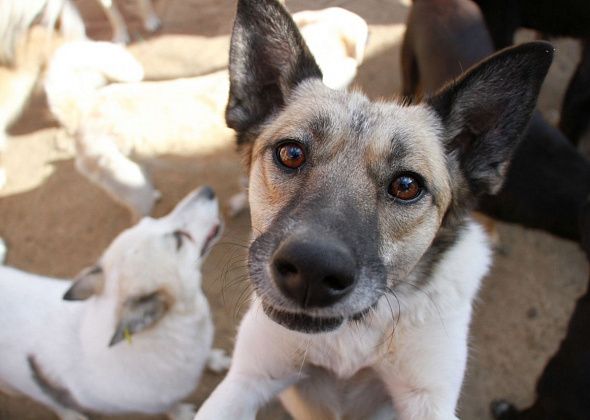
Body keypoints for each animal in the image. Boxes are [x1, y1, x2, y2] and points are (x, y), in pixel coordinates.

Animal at [0, 186, 231, 420]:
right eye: (179, 240)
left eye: (151, 220)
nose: (207, 190)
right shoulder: (155, 404)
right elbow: (171, 406)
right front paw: (181, 412)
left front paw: (215, 360)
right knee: (50, 400)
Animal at [194, 0, 556, 420]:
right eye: (291, 153)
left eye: (406, 185)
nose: (311, 271)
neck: (353, 332)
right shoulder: (249, 377)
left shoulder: (427, 399)